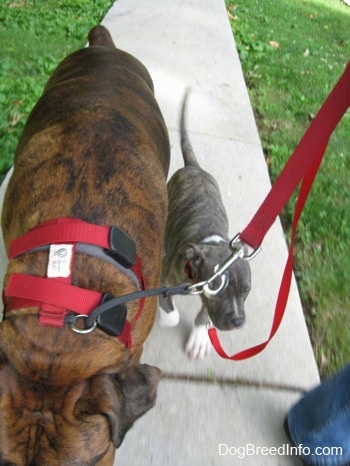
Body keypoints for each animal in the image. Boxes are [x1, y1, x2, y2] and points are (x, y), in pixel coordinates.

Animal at [159, 92, 252, 360]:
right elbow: (171, 314)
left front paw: (200, 337)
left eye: (246, 290)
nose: (237, 321)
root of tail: (194, 167)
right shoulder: (164, 278)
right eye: (216, 288)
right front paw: (166, 318)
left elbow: (204, 314)